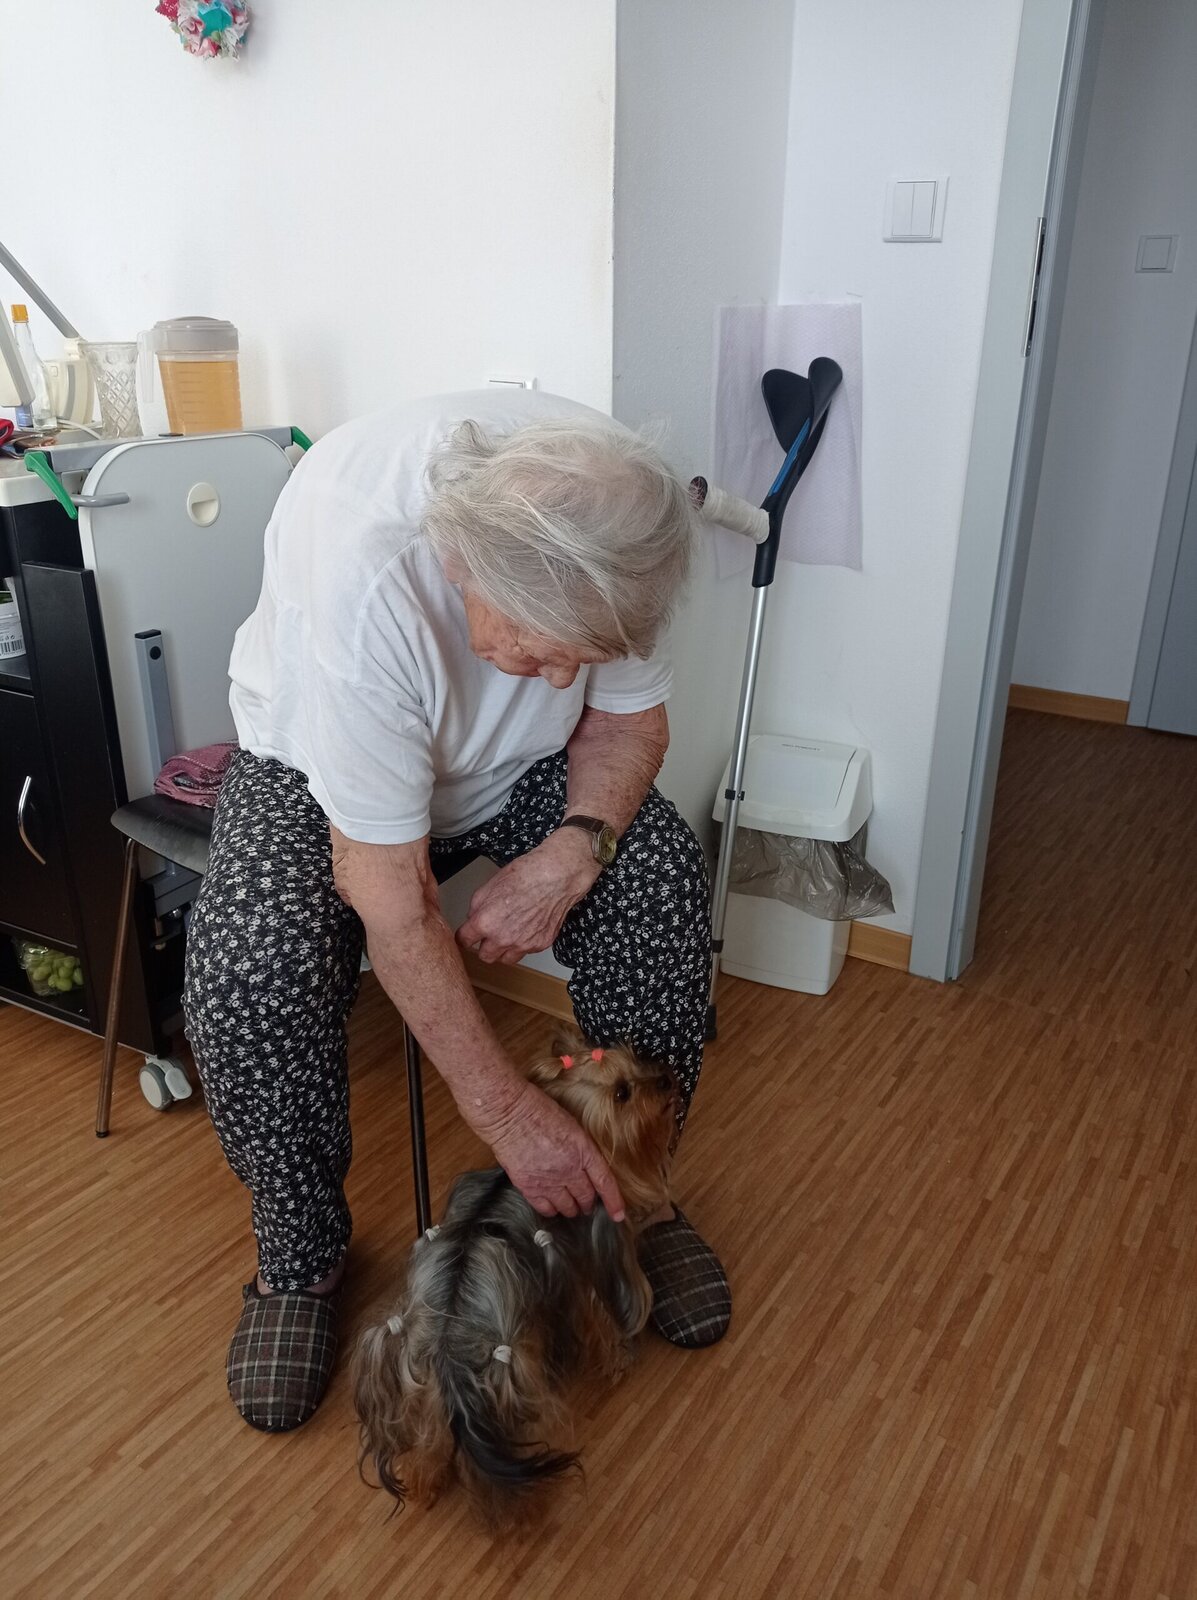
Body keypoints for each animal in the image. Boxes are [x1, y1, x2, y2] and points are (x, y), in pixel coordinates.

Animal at [352, 1024, 677, 1528]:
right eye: (623, 1093)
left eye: (636, 1059)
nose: (665, 1077)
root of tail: (448, 1330)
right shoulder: (590, 1256)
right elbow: (602, 1317)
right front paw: (617, 1361)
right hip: (510, 1358)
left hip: (420, 1373)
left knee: (431, 1431)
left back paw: (425, 1481)